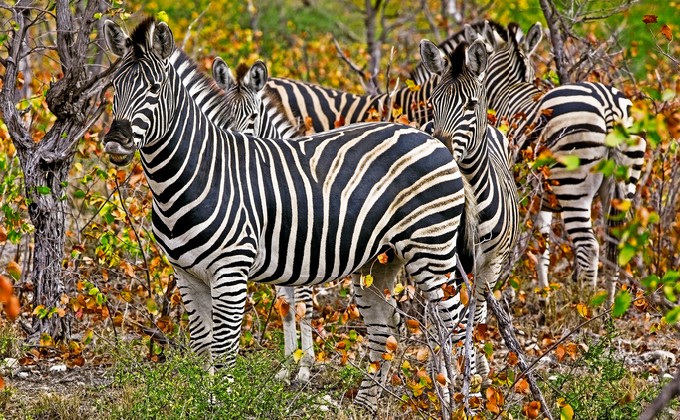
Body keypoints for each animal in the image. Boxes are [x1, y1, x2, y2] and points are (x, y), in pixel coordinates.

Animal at [211, 57, 314, 384]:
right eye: (222, 115)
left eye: (254, 116)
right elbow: (285, 307)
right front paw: (286, 366)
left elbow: (304, 306)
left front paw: (305, 368)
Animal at [419, 38, 520, 379]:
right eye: (433, 103)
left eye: (470, 105)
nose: (440, 150)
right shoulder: (450, 258)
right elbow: (455, 315)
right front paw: (461, 370)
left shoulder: (491, 262)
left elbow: (474, 315)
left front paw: (473, 373)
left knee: (480, 310)